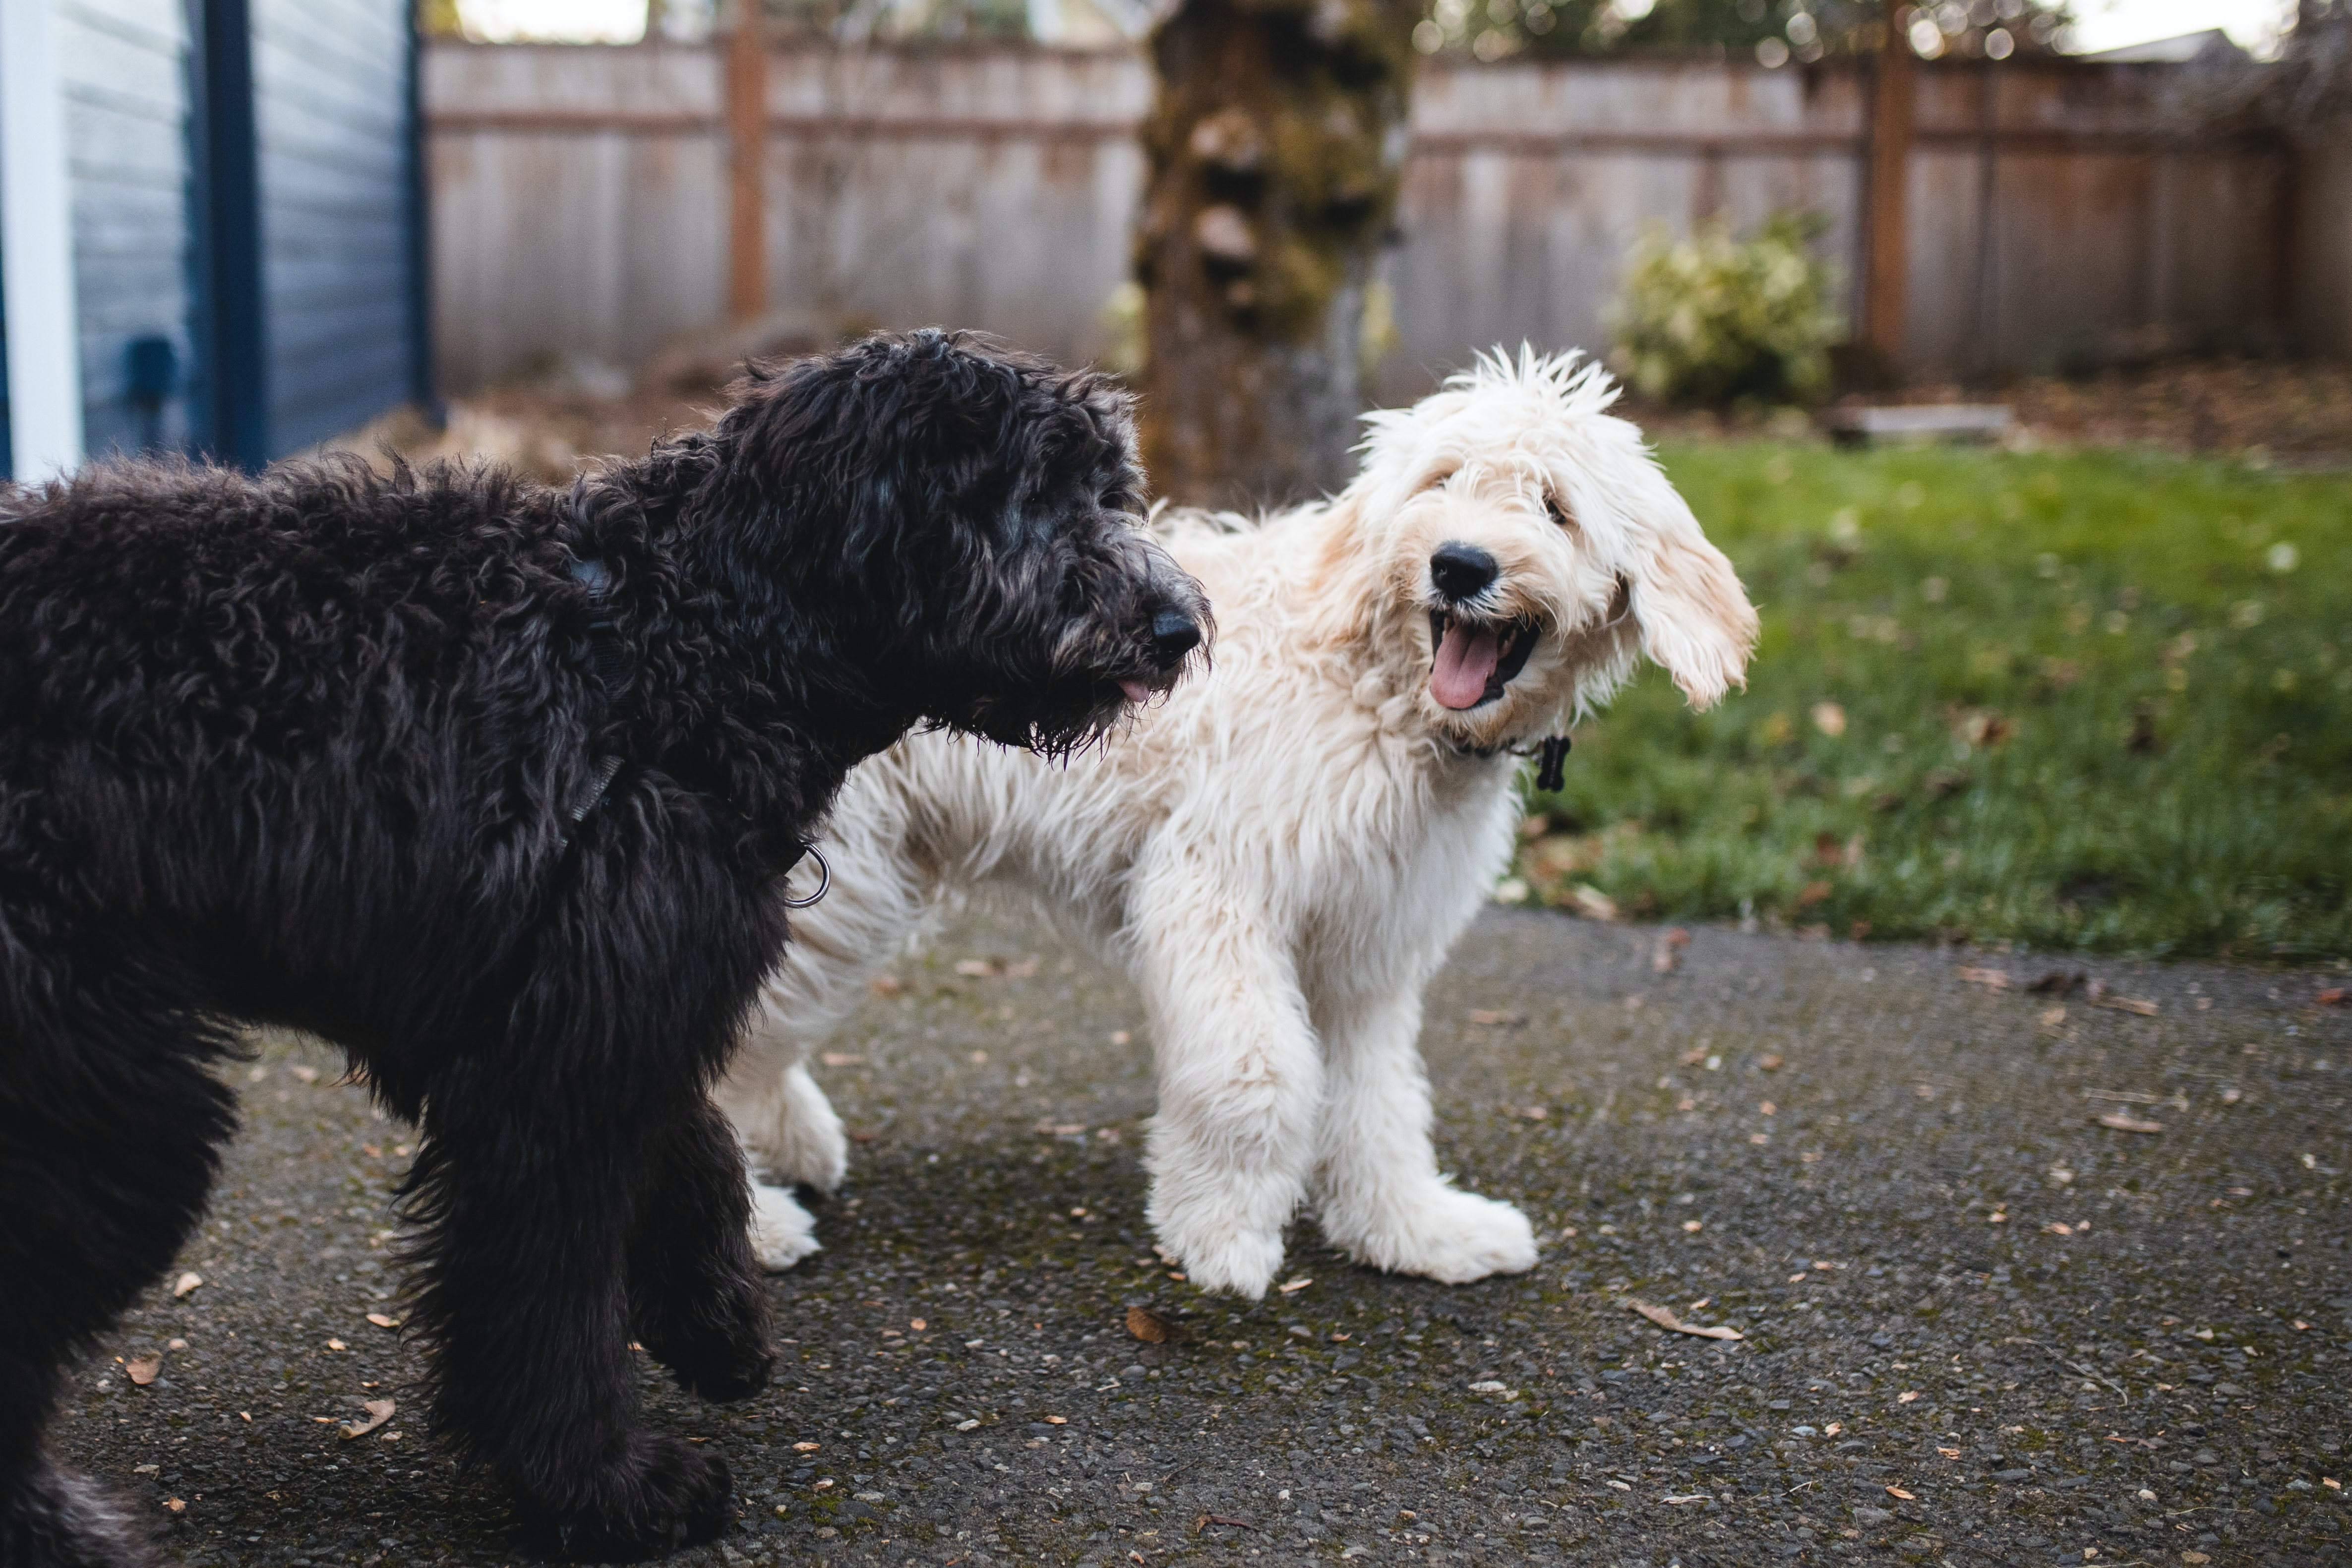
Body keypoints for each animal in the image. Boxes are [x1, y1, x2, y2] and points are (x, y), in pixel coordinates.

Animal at [0, 324, 1213, 1561]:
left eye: (1104, 488)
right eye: (1028, 493)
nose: (1178, 628)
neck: (670, 654)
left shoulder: (613, 1004)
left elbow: (698, 1151)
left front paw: (716, 1323)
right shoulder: (553, 1073)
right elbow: (549, 1298)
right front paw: (610, 1489)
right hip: (108, 1109)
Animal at [724, 353, 1759, 1297]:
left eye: (1553, 506)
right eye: (1441, 481)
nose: (1459, 564)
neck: (1374, 690)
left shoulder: (1366, 944)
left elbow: (1377, 1097)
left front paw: (1410, 1226)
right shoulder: (1216, 887)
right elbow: (1253, 1073)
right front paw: (1220, 1234)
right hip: (834, 885)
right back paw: (757, 1223)